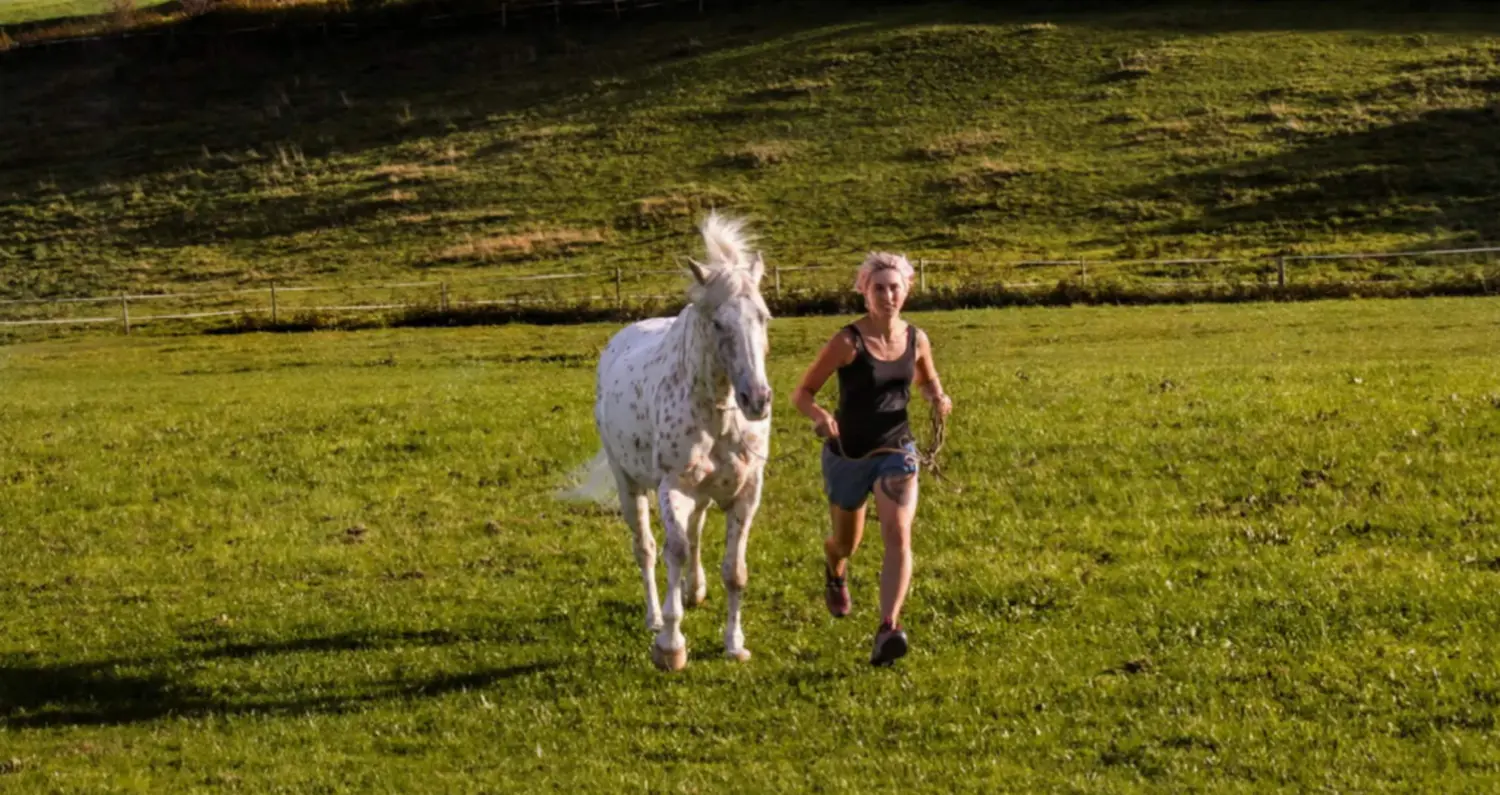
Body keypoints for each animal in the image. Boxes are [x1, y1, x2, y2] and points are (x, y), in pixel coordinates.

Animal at [573, 211, 774, 669]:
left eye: (764, 317)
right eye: (717, 323)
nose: (757, 399)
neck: (717, 414)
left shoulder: (746, 492)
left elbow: (734, 571)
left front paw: (734, 643)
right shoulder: (673, 488)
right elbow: (674, 551)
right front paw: (670, 644)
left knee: (695, 531)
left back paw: (694, 591)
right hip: (630, 485)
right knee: (646, 548)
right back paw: (653, 616)